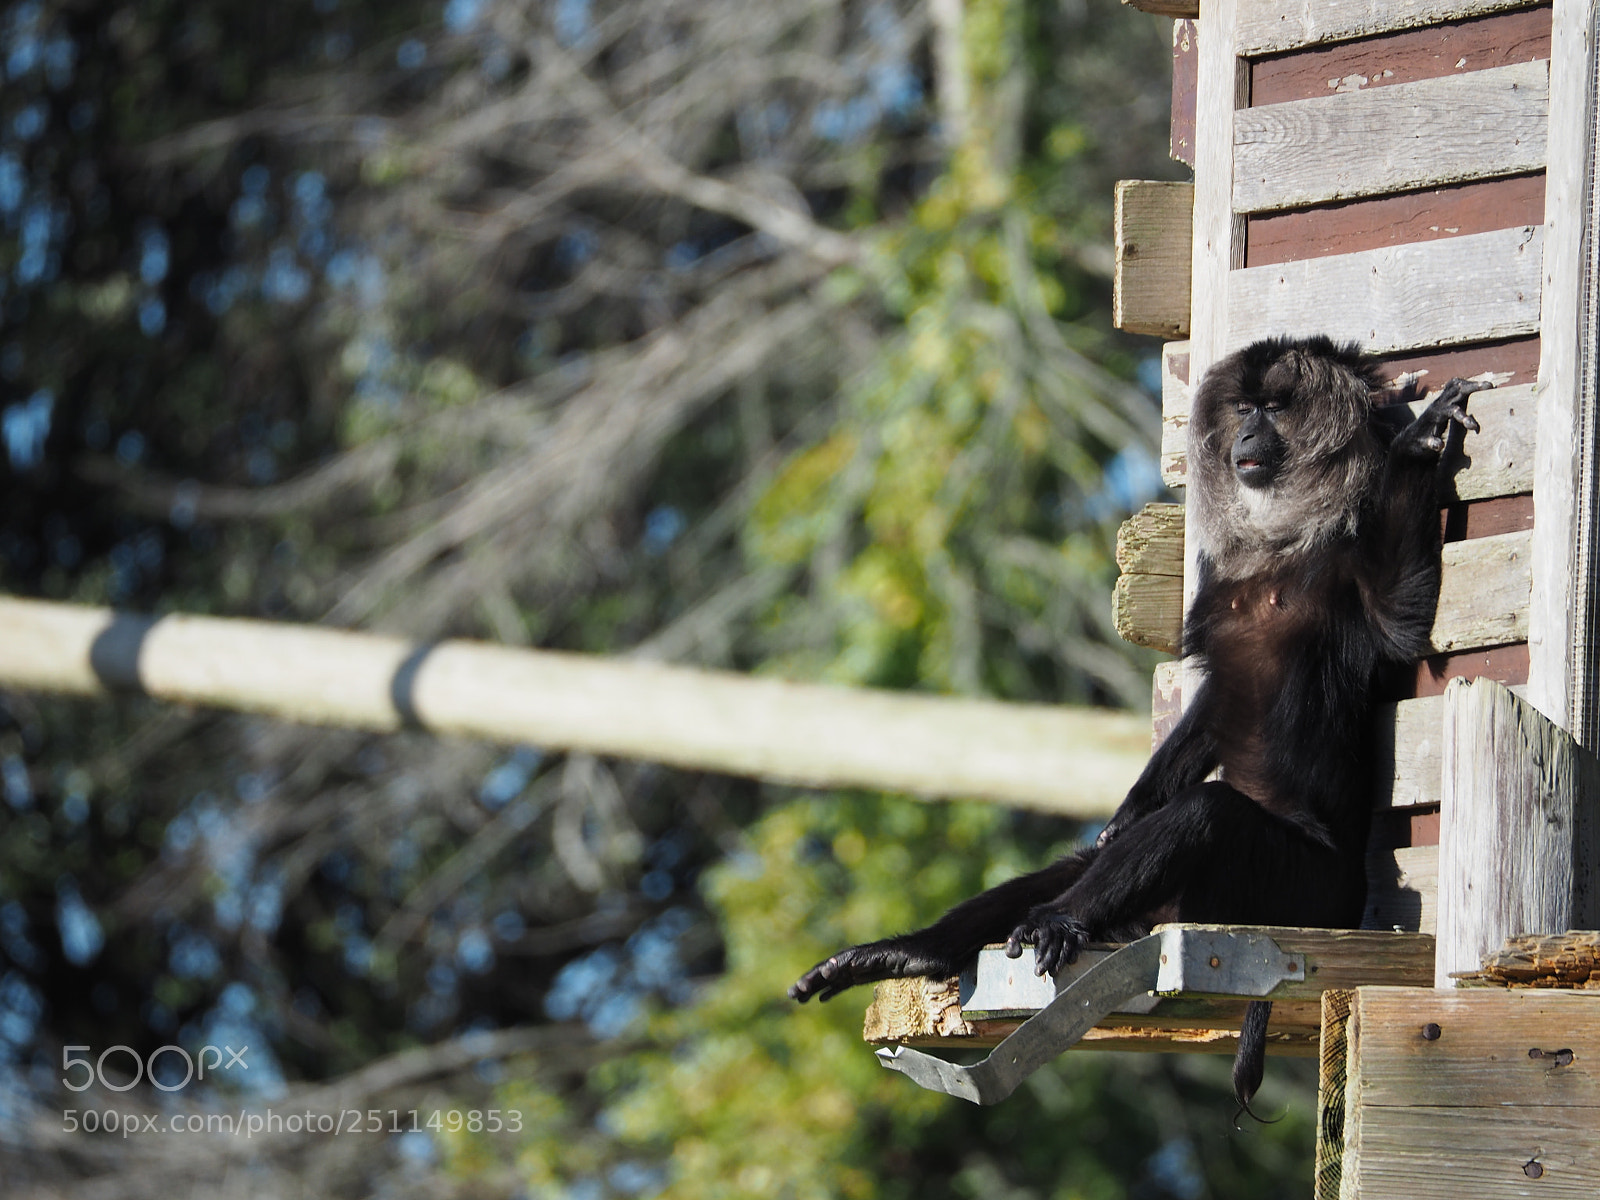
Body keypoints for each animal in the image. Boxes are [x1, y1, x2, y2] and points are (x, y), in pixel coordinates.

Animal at [790, 335, 1484, 1116]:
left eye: (1276, 410)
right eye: (1245, 408)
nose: (1246, 437)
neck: (1284, 550)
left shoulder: (1351, 577)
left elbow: (1402, 616)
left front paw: (1419, 440)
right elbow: (1210, 710)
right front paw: (1123, 814)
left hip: (1296, 893)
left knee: (1207, 814)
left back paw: (1055, 922)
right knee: (1095, 857)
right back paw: (924, 950)